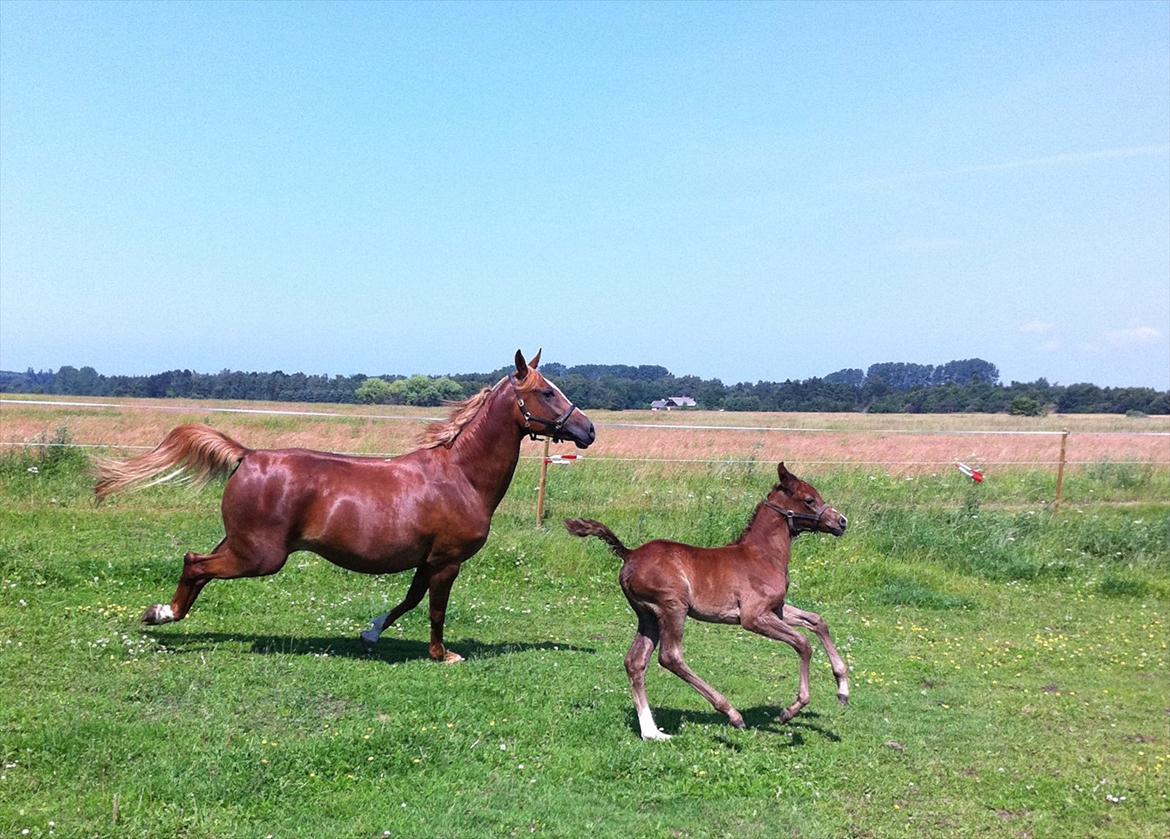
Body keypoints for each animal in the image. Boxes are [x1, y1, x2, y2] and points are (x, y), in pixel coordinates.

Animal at [93, 348, 594, 659]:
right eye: (547, 392)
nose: (588, 431)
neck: (460, 476)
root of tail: (248, 455)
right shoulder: (447, 561)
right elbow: (434, 610)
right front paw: (442, 654)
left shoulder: (426, 560)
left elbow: (409, 601)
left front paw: (370, 632)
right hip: (260, 556)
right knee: (195, 563)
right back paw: (163, 614)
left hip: (240, 544)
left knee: (196, 564)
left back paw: (162, 613)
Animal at [563, 465, 847, 739]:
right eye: (809, 500)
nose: (841, 522)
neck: (762, 555)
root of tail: (629, 554)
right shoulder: (753, 617)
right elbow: (803, 644)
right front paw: (790, 711)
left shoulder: (775, 610)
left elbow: (817, 621)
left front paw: (843, 689)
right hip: (672, 607)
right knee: (670, 657)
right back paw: (731, 713)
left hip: (647, 616)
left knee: (635, 661)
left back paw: (652, 732)